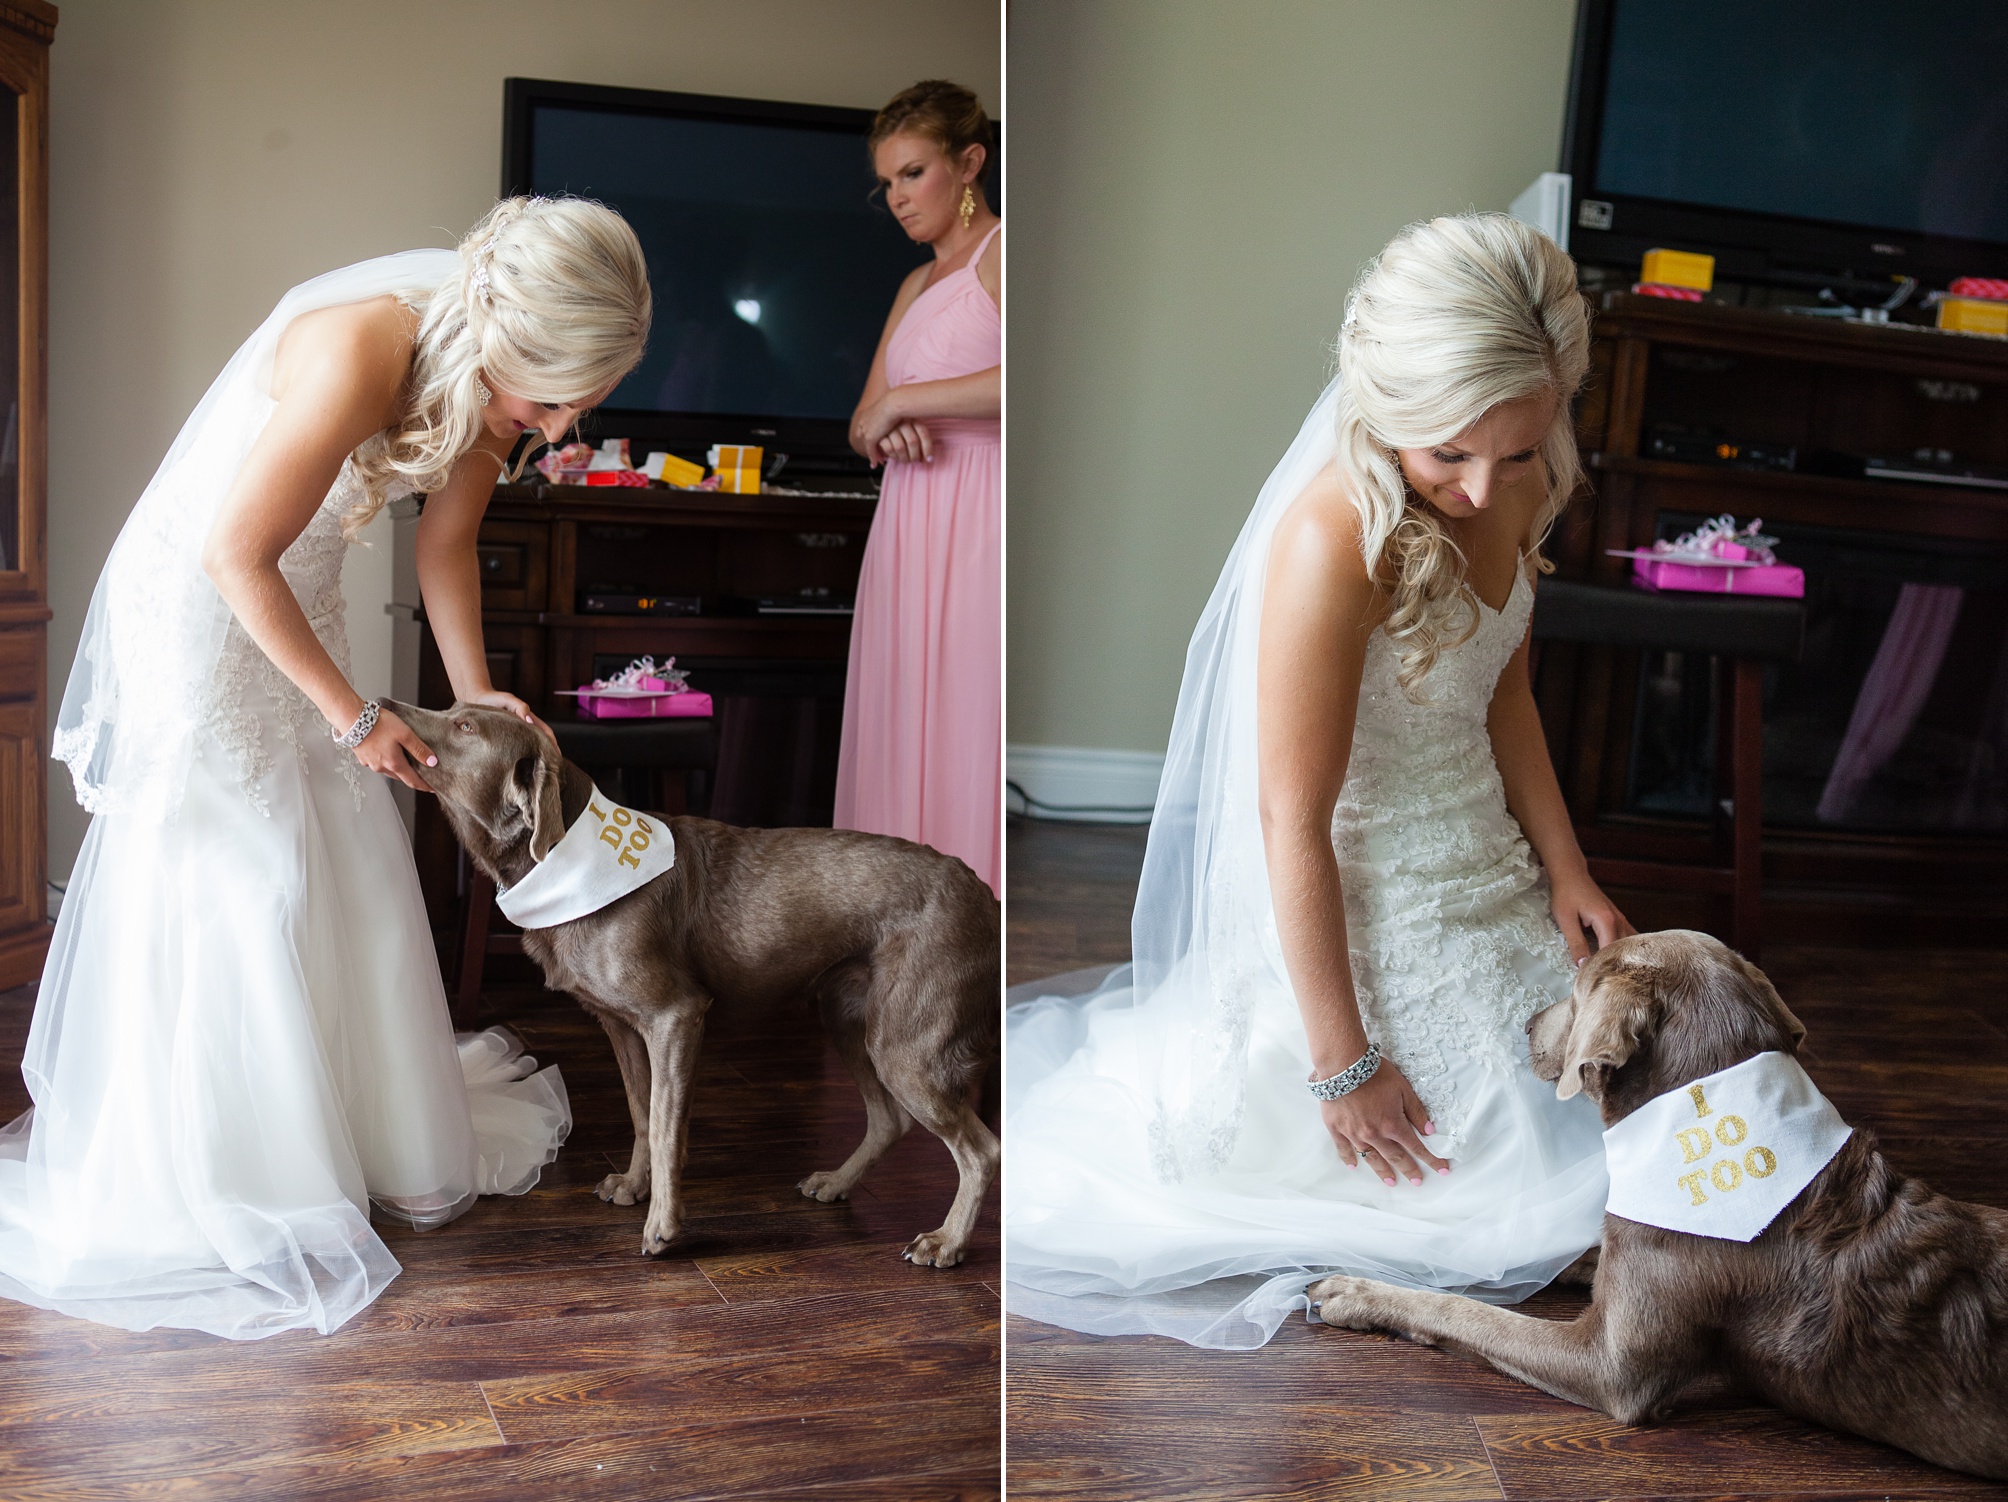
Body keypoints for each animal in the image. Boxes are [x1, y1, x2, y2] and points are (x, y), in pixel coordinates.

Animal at [381, 702, 995, 1269]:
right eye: (454, 709)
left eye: (465, 728)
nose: (386, 706)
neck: (566, 862)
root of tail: (982, 890)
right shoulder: (623, 1028)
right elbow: (640, 1114)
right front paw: (633, 1186)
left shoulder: (676, 1016)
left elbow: (664, 1125)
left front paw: (663, 1226)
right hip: (849, 1018)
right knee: (890, 1119)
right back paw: (838, 1182)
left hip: (905, 1044)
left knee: (982, 1151)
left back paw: (946, 1241)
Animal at [1301, 931, 2007, 1485]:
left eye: (1575, 987)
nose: (1523, 1025)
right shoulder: (1625, 1248)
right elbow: (1546, 1256)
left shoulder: (1609, 1365)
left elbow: (1471, 1315)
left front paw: (1358, 1292)